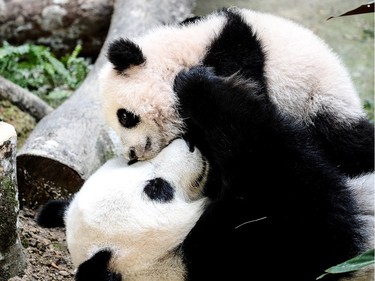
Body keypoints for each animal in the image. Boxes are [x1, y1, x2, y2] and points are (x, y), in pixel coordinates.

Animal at [100, 6, 375, 177]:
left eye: (125, 117)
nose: (131, 154)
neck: (178, 54)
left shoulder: (236, 55)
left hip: (318, 99)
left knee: (348, 140)